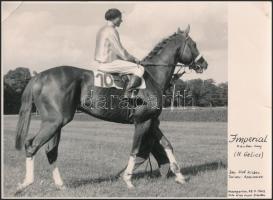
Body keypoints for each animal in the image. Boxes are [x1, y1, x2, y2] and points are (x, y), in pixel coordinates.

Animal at [14, 25, 206, 191]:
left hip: (56, 124)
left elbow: (167, 145)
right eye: (194, 44)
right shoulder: (142, 122)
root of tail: (39, 76)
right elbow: (135, 150)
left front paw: (180, 176)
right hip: (54, 122)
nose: (204, 64)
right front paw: (127, 180)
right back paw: (26, 183)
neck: (152, 77)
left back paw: (60, 185)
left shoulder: (152, 122)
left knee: (50, 150)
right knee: (32, 145)